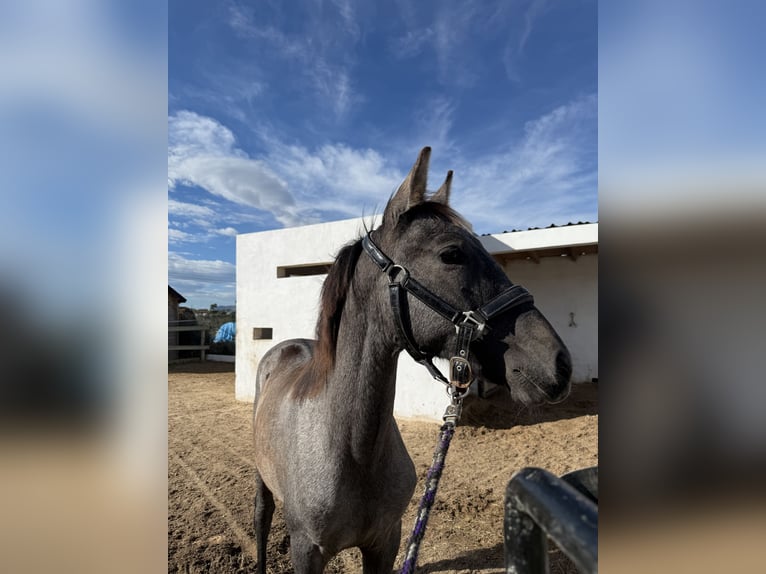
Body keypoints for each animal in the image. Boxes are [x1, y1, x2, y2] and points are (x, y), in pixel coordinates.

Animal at [252, 147, 572, 574]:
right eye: (451, 254)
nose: (560, 364)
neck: (354, 453)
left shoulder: (386, 542)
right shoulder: (307, 550)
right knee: (261, 517)